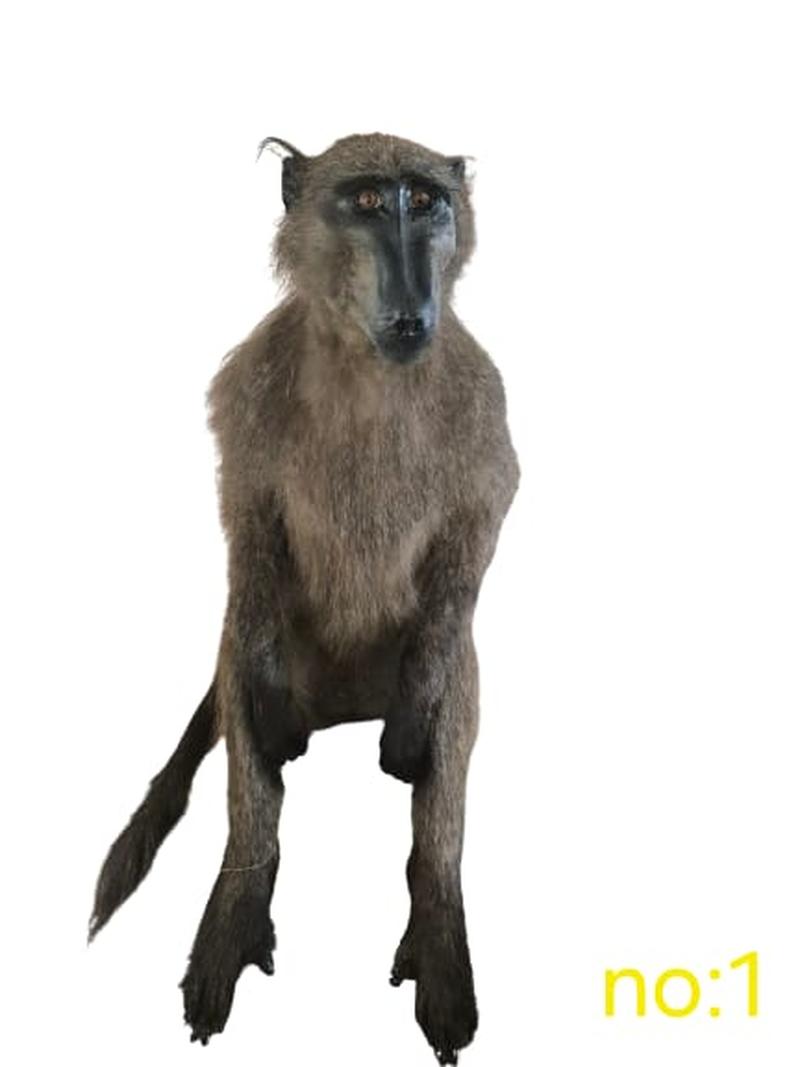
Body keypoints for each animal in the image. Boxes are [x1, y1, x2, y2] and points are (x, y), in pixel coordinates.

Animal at [89, 132, 519, 1066]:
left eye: (423, 200)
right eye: (367, 203)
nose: (412, 314)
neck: (367, 368)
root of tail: (347, 707)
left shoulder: (481, 398)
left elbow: (475, 534)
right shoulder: (249, 395)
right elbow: (250, 535)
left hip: (410, 673)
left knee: (447, 721)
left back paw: (437, 937)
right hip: (288, 667)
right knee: (250, 724)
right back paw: (237, 910)